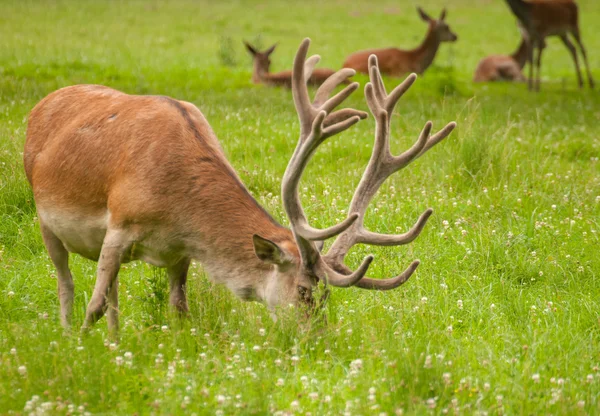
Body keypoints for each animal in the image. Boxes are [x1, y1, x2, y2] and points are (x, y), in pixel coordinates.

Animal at [23, 37, 454, 334]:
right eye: (303, 291)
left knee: (110, 293)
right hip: (45, 219)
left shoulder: (179, 254)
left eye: (327, 294)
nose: (316, 340)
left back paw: (114, 340)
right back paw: (68, 333)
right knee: (67, 282)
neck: (175, 207)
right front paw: (82, 347)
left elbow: (178, 311)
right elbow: (93, 305)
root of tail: (40, 104)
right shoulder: (119, 226)